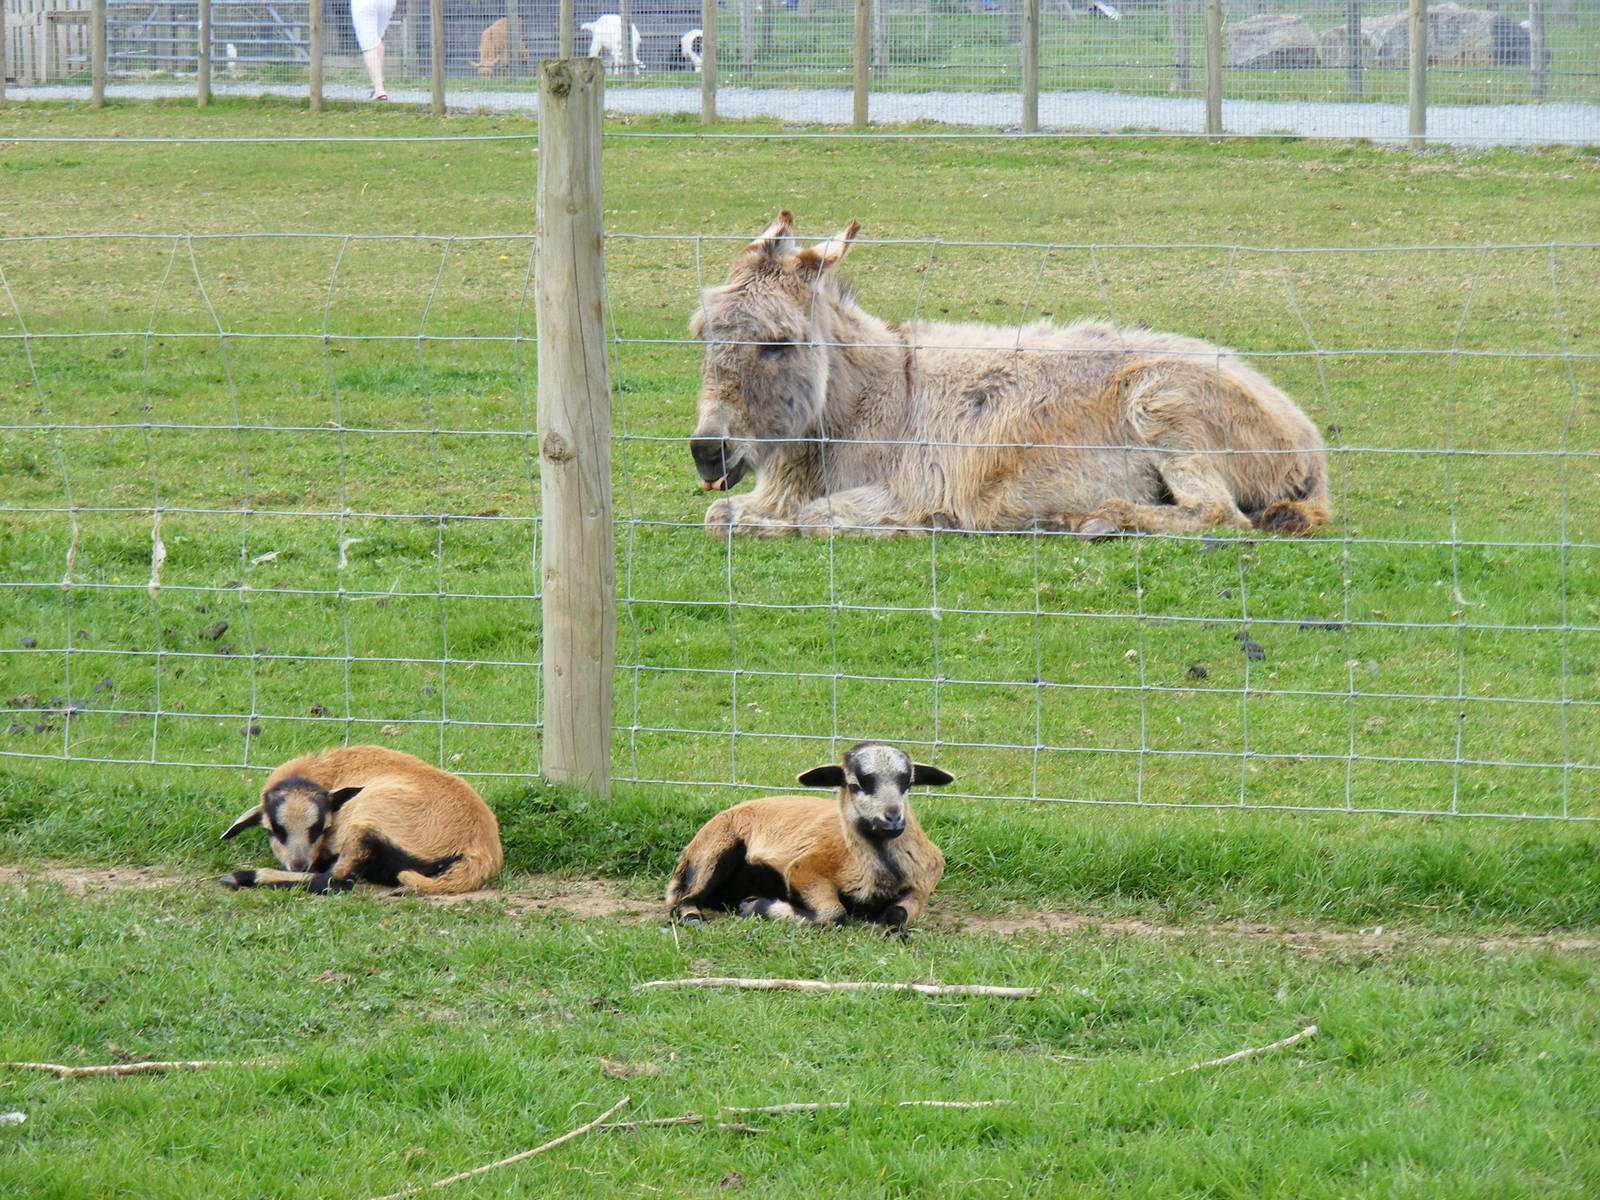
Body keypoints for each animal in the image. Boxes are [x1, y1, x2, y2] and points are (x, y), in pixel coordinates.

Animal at [217, 745, 502, 895]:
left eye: (323, 828)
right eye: (272, 830)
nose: (298, 865)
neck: (326, 771)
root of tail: (479, 853)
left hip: (368, 820)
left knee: (338, 879)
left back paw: (243, 877)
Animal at [666, 742, 952, 930]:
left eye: (908, 783)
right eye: (854, 784)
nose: (893, 819)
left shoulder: (921, 888)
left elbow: (899, 916)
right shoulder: (804, 869)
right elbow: (833, 914)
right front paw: (753, 905)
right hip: (715, 850)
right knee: (683, 900)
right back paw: (693, 918)